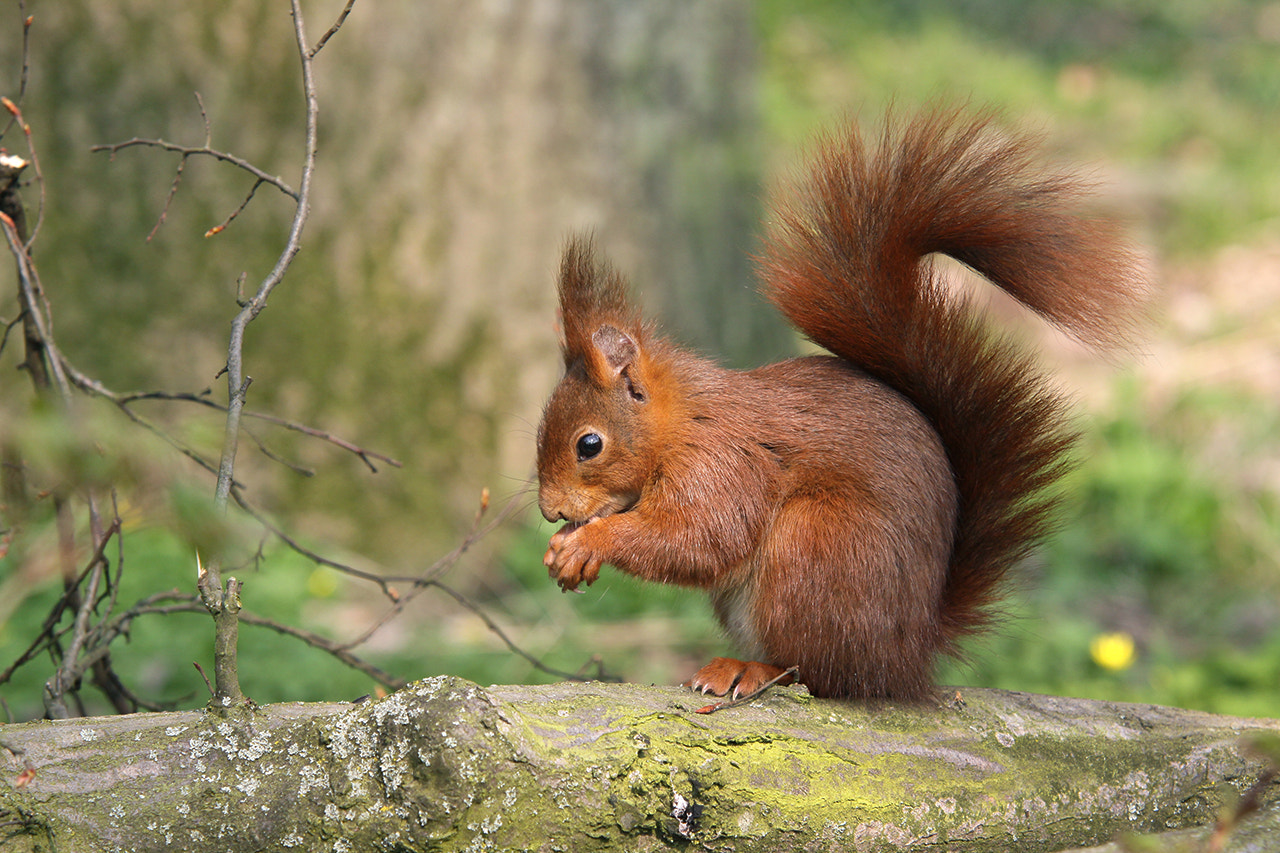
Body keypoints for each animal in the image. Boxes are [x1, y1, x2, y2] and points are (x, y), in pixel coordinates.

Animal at [535, 107, 1146, 701]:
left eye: (589, 444)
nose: (551, 511)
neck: (679, 423)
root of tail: (909, 656)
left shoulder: (722, 466)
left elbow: (696, 539)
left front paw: (587, 541)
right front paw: (561, 548)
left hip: (815, 547)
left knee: (821, 672)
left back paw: (751, 670)